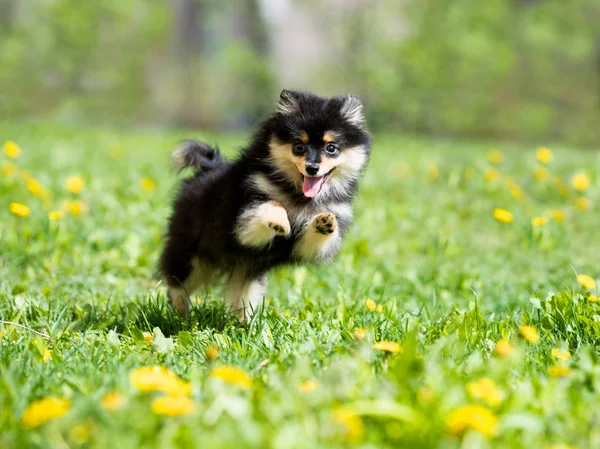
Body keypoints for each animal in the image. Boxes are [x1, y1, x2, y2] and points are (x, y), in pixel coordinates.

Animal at [162, 89, 372, 316]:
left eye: (331, 148)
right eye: (299, 146)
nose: (312, 168)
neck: (297, 195)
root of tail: (208, 167)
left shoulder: (303, 244)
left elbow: (315, 238)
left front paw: (324, 222)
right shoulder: (242, 218)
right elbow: (272, 205)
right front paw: (279, 222)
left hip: (248, 271)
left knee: (241, 294)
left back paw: (243, 321)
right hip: (193, 252)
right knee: (178, 281)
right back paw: (180, 313)